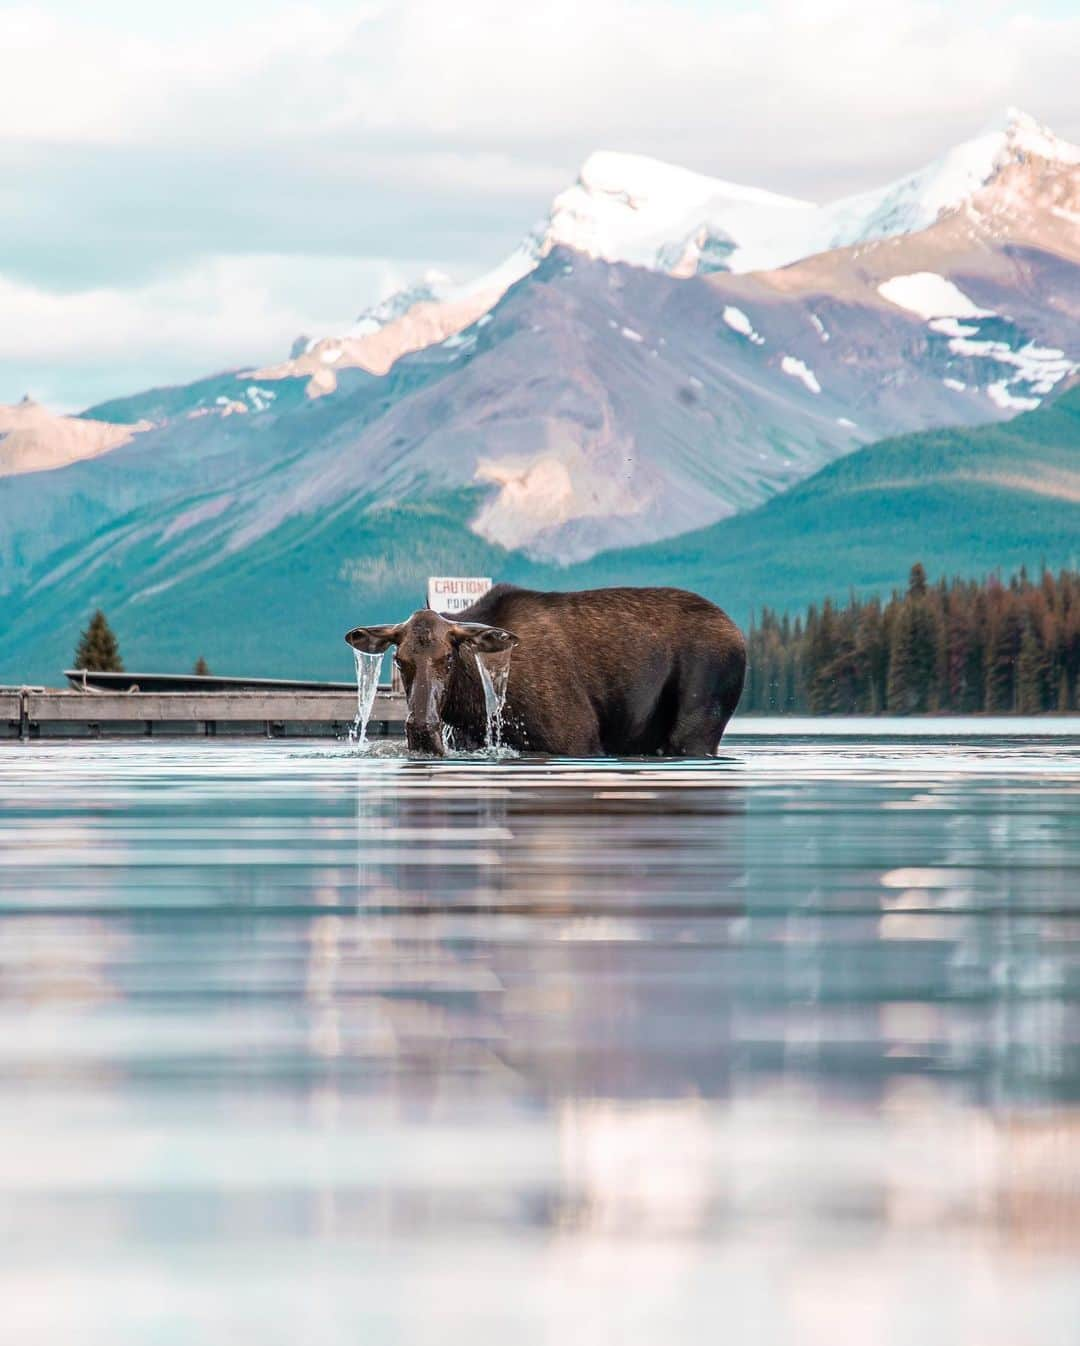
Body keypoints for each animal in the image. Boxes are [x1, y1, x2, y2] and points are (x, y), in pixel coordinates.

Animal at [344, 584, 743, 759]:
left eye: (449, 658)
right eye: (399, 660)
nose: (423, 730)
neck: (471, 705)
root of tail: (738, 634)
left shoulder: (578, 739)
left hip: (697, 723)